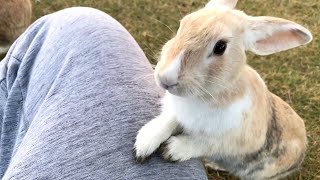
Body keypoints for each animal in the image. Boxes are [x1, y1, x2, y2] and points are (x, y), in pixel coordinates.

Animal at [133, 0, 312, 179]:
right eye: (182, 24)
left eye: (220, 47)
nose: (166, 78)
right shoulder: (178, 113)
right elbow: (168, 121)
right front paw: (143, 143)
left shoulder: (233, 142)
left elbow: (205, 143)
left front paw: (171, 150)